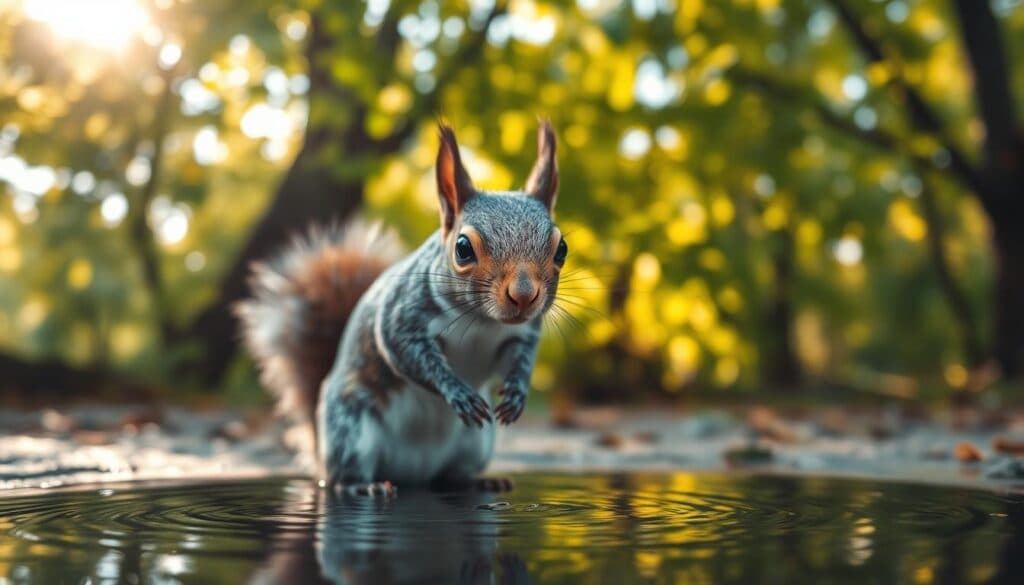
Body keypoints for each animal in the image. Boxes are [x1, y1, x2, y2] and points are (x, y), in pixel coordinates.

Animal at [236, 122, 566, 495]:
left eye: (561, 250)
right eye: (463, 249)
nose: (524, 295)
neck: (483, 321)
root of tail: (412, 474)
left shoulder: (521, 334)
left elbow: (521, 359)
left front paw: (516, 393)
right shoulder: (401, 316)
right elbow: (409, 354)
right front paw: (456, 391)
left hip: (475, 443)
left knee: (451, 476)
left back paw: (480, 481)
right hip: (350, 430)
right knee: (340, 476)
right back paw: (360, 486)